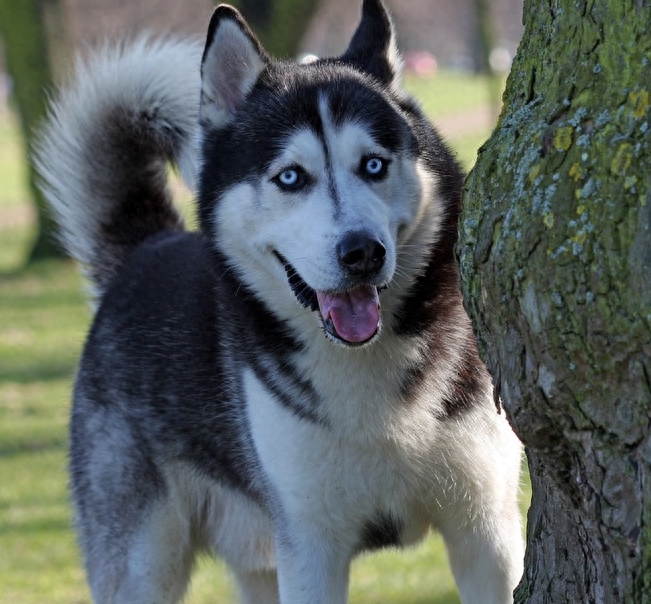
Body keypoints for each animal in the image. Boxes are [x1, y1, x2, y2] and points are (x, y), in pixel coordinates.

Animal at [34, 1, 524, 604]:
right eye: (291, 177)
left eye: (374, 165)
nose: (362, 252)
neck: (364, 371)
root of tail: (146, 248)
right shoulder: (310, 548)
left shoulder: (486, 532)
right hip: (143, 562)